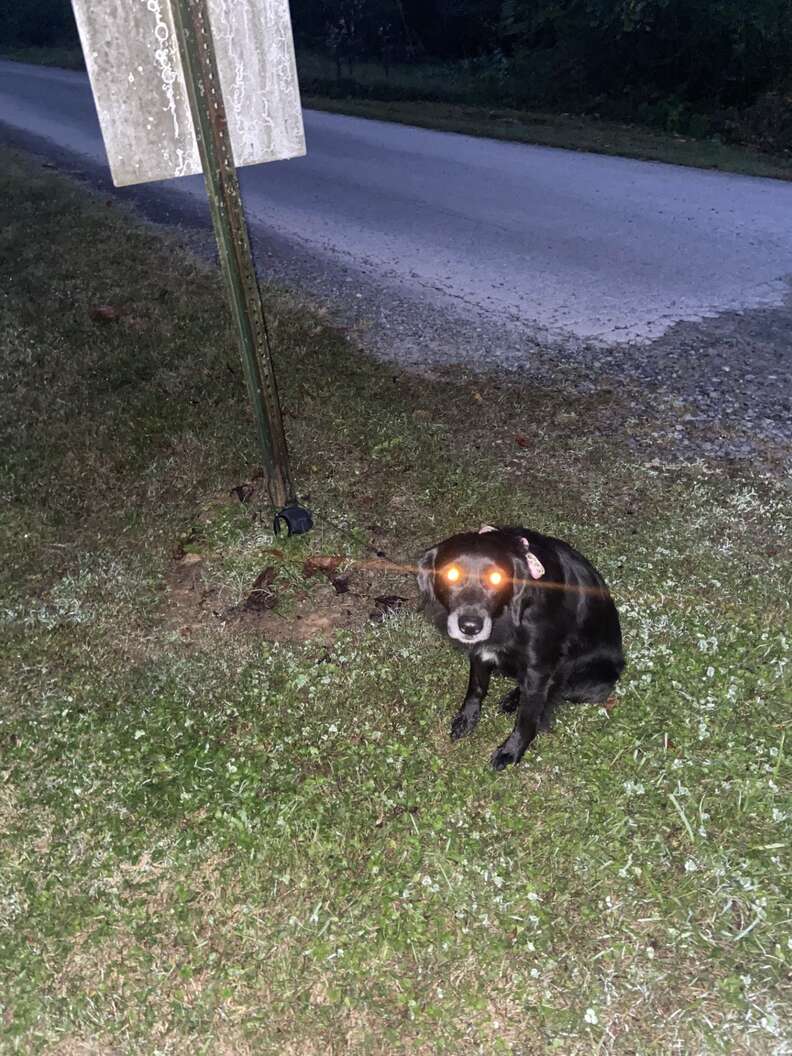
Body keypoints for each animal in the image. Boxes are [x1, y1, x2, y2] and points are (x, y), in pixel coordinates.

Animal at [418, 525, 629, 768]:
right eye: (452, 574)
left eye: (496, 578)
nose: (470, 627)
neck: (507, 613)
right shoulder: (480, 650)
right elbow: (476, 687)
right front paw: (467, 718)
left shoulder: (539, 666)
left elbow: (527, 717)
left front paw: (511, 751)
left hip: (585, 682)